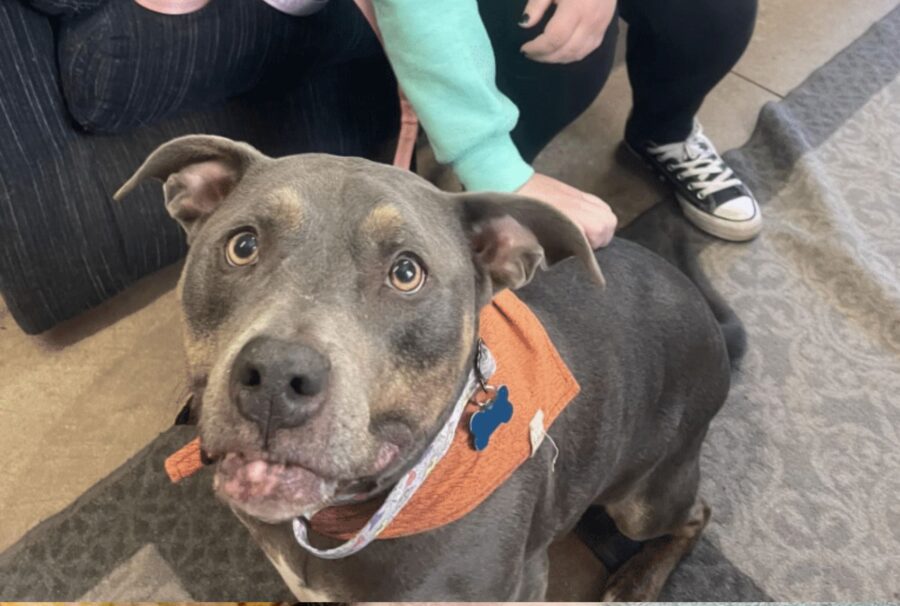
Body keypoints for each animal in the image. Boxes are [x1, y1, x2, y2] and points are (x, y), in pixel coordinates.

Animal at [119, 134, 740, 604]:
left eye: (406, 273)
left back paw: (638, 580)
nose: (275, 376)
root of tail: (702, 304)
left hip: (644, 500)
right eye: (243, 245)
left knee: (697, 514)